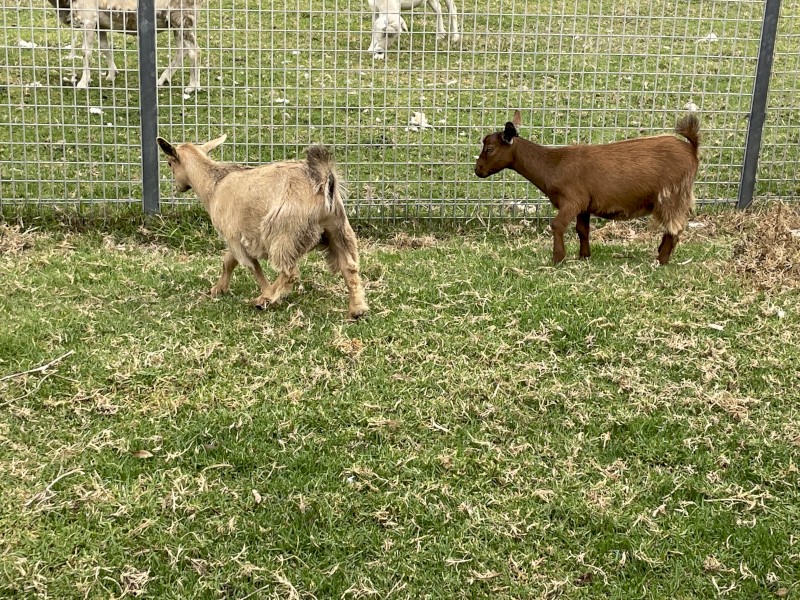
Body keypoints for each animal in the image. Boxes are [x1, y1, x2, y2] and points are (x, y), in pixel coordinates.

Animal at [45, 0, 200, 93]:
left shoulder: (88, 19)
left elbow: (86, 52)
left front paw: (83, 83)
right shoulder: (100, 25)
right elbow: (105, 48)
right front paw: (112, 74)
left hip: (183, 18)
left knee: (195, 51)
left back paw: (192, 87)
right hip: (175, 22)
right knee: (182, 51)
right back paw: (162, 80)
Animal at [156, 135, 369, 320]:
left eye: (169, 163)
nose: (178, 187)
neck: (215, 185)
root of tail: (323, 180)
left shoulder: (236, 237)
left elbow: (252, 267)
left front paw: (267, 294)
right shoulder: (237, 238)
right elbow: (228, 261)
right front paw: (218, 288)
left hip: (285, 233)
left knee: (291, 272)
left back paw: (263, 299)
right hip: (337, 229)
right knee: (349, 267)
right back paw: (356, 310)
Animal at [474, 111, 701, 265]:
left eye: (490, 148)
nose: (477, 170)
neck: (553, 164)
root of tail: (691, 149)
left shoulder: (572, 200)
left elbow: (557, 225)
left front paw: (557, 258)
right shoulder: (585, 205)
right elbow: (582, 229)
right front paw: (584, 256)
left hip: (671, 194)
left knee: (675, 227)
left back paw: (661, 260)